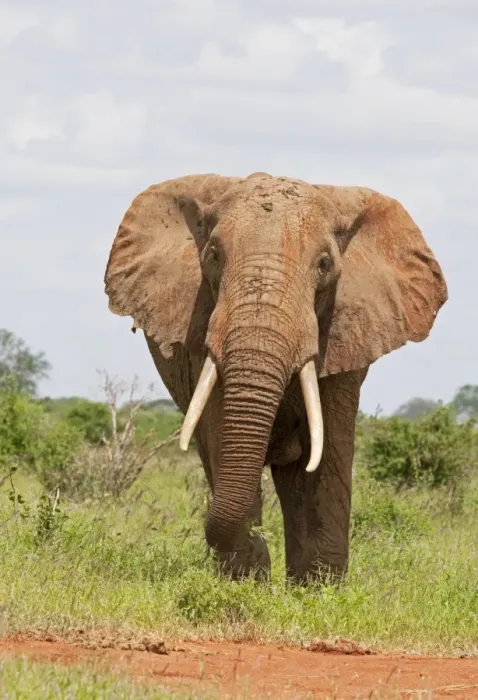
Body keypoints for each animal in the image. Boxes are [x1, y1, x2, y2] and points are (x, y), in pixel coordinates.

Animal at [104, 172, 447, 584]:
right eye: (213, 257)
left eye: (324, 264)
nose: (255, 540)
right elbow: (222, 433)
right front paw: (246, 582)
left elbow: (327, 451)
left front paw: (320, 590)